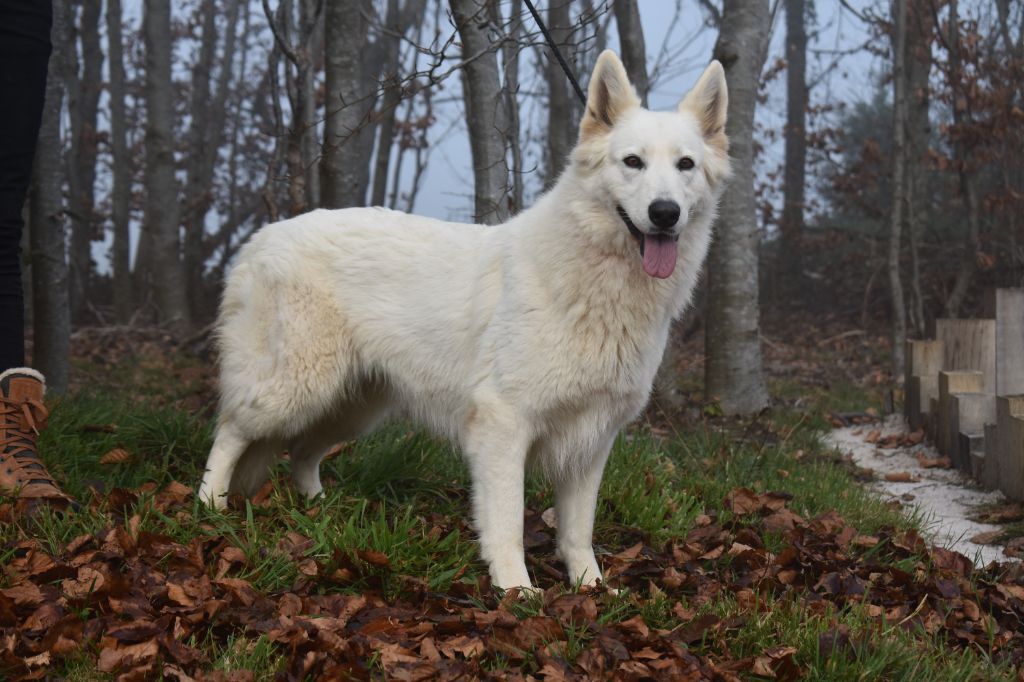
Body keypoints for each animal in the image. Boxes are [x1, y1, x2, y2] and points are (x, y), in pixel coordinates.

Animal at [199, 50, 729, 585]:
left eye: (685, 165)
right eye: (632, 162)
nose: (665, 213)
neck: (597, 281)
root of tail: (261, 237)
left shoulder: (592, 441)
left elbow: (578, 531)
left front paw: (590, 586)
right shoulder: (504, 424)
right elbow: (508, 521)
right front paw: (516, 589)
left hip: (350, 406)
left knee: (303, 451)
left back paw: (319, 508)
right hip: (293, 389)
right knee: (230, 430)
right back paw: (209, 507)